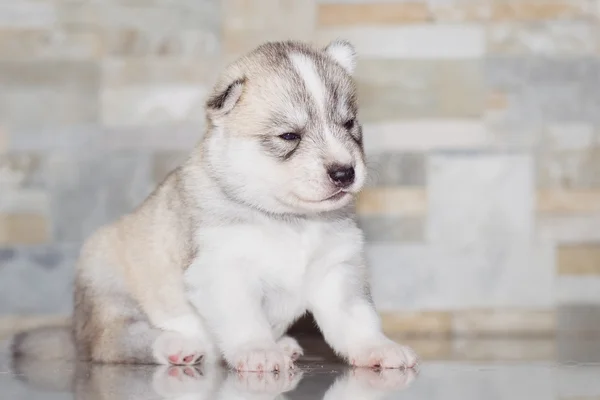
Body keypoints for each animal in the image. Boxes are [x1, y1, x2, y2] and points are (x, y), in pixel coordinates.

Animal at [12, 39, 418, 372]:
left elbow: (357, 321)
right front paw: (258, 351)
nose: (345, 172)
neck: (292, 221)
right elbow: (245, 320)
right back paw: (177, 345)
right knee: (119, 341)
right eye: (289, 136)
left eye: (349, 124)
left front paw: (378, 348)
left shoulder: (337, 270)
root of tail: (74, 334)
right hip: (110, 290)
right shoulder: (223, 271)